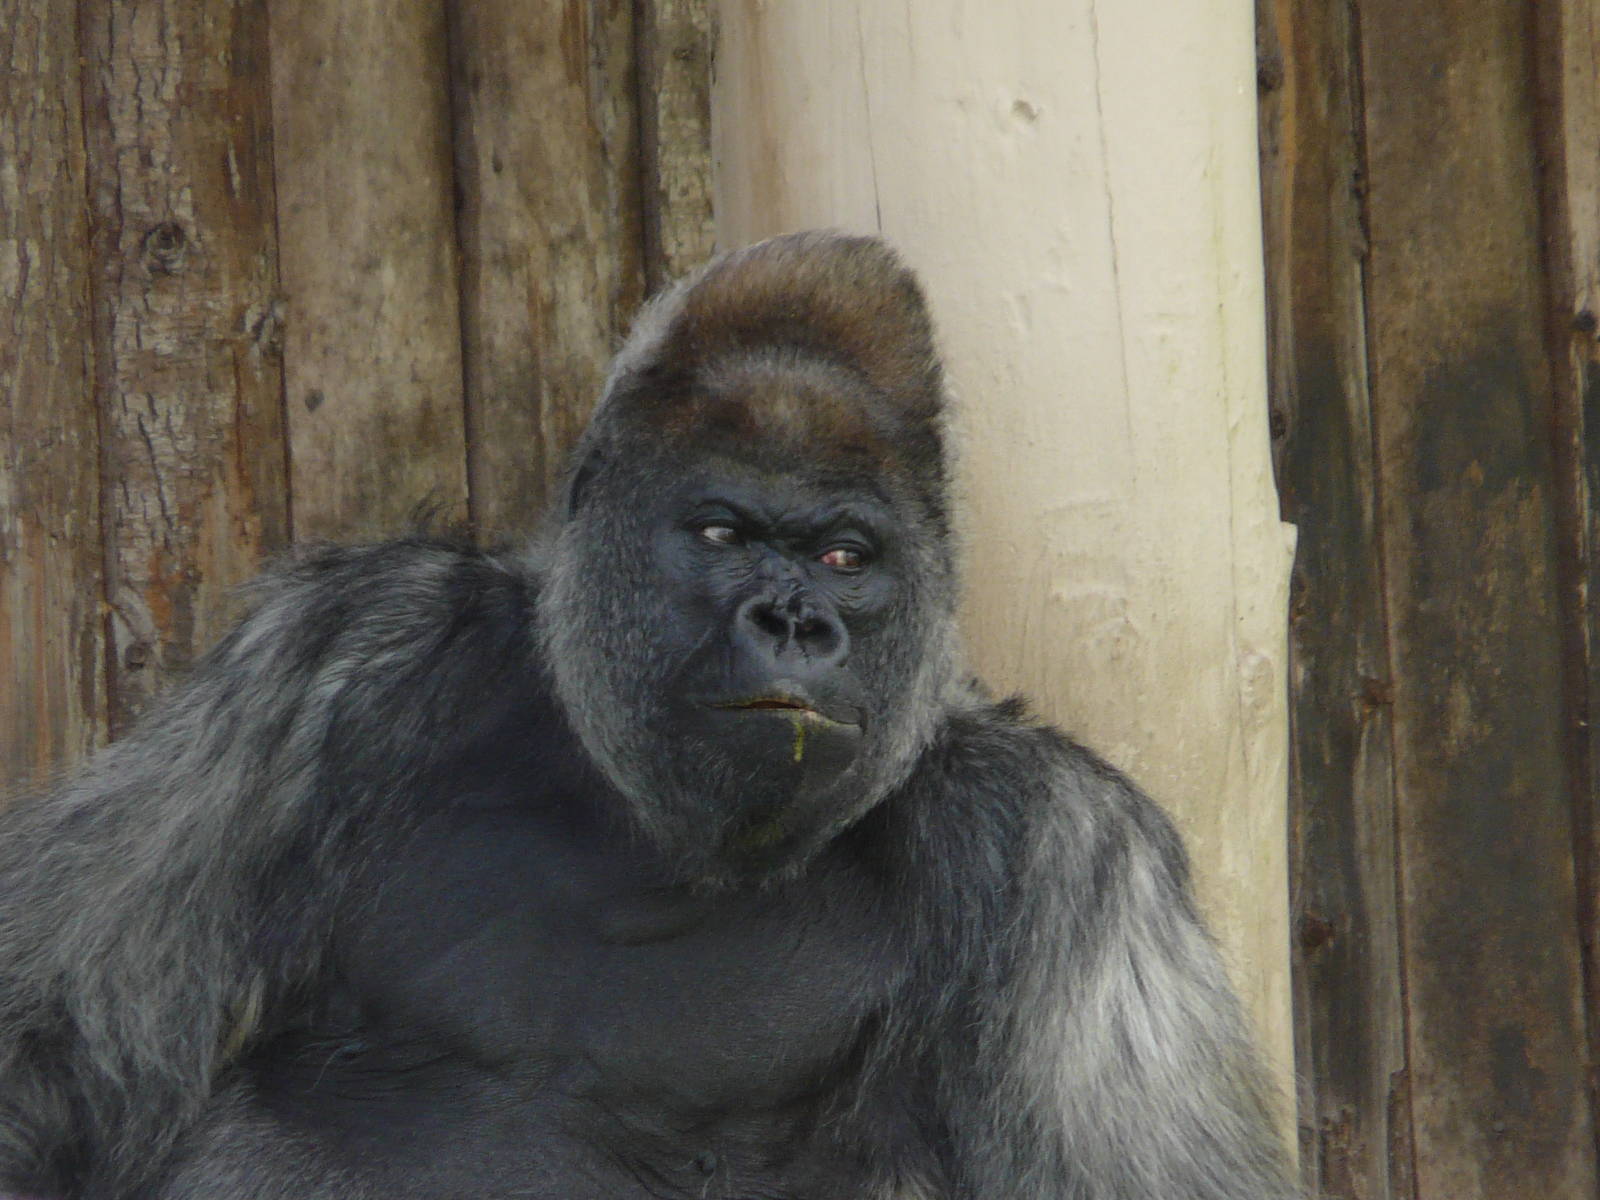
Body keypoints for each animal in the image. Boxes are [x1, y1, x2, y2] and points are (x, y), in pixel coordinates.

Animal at [0, 231, 1297, 1199]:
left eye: (844, 556)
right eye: (721, 530)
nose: (791, 619)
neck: (635, 805)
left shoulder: (1070, 853)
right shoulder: (333, 653)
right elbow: (48, 1044)